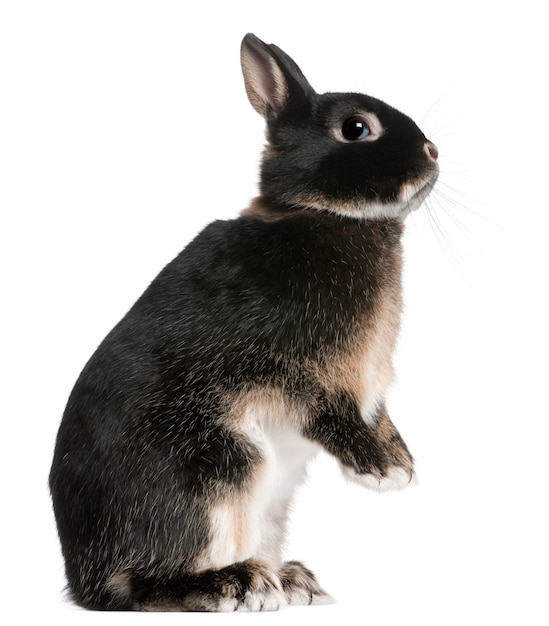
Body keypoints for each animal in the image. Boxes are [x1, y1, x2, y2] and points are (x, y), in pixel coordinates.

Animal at [49, 30, 438, 608]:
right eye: (356, 128)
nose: (433, 152)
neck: (317, 212)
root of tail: (82, 578)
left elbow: (378, 414)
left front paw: (401, 459)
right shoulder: (291, 367)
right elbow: (328, 411)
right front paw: (382, 470)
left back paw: (292, 580)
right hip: (217, 464)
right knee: (141, 584)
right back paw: (238, 582)